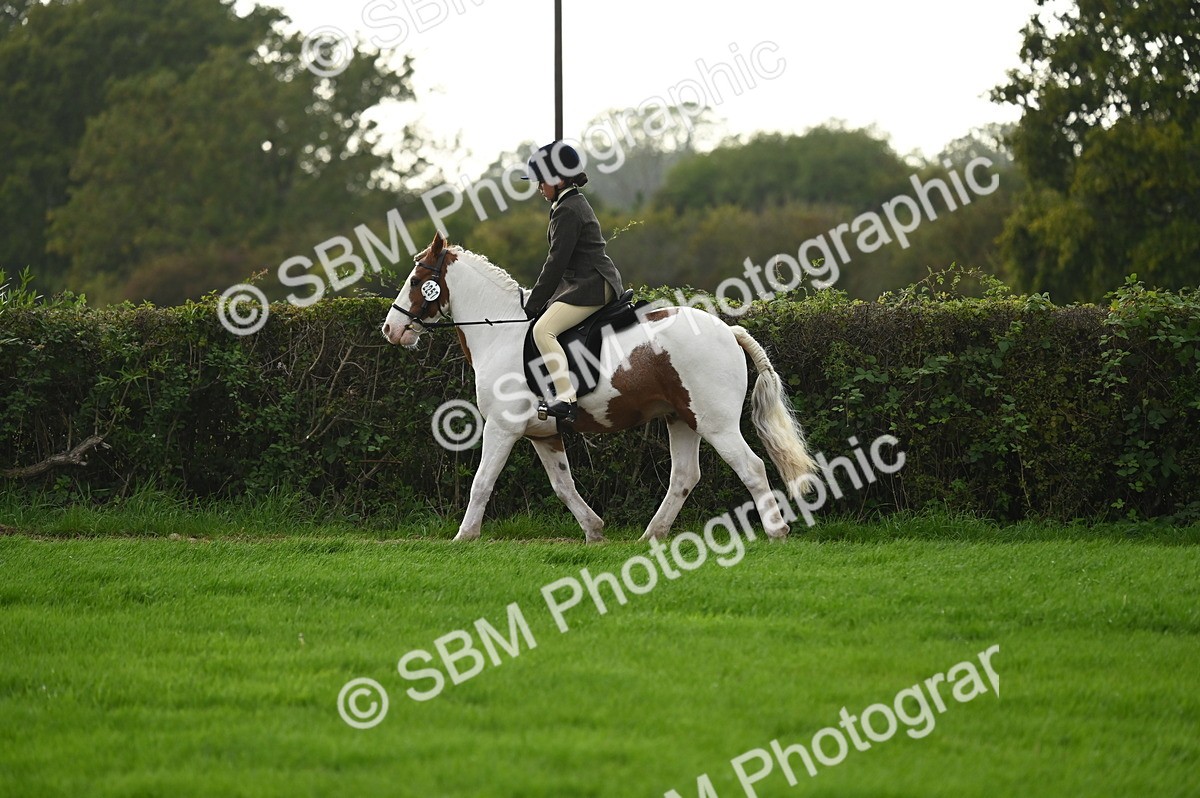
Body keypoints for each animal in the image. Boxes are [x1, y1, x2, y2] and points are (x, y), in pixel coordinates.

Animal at [381, 232, 818, 543]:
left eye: (417, 280)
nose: (391, 329)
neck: (501, 332)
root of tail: (729, 330)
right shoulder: (544, 435)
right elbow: (563, 486)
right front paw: (594, 530)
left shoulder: (502, 429)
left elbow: (482, 482)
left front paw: (463, 537)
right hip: (682, 419)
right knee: (684, 476)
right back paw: (651, 535)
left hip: (715, 423)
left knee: (751, 467)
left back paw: (776, 532)